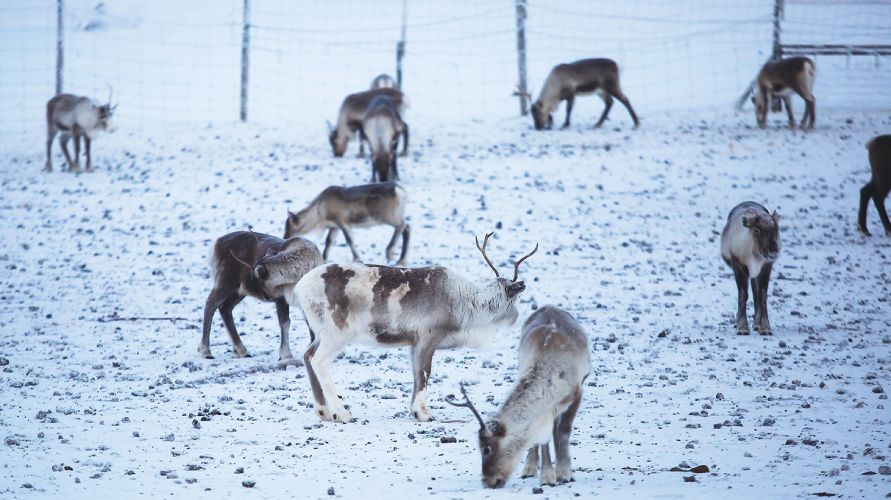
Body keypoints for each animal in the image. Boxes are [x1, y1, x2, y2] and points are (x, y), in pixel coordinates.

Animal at [202, 230, 324, 364]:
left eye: (256, 279)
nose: (244, 285)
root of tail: (217, 242)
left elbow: (310, 323)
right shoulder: (281, 298)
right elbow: (285, 323)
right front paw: (286, 355)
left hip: (237, 293)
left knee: (225, 308)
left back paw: (241, 350)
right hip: (225, 283)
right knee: (210, 304)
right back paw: (205, 351)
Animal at [450, 304, 588, 488]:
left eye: (487, 448)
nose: (487, 482)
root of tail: (549, 306)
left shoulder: (577, 391)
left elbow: (564, 430)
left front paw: (564, 473)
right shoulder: (546, 408)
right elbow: (542, 437)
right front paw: (546, 476)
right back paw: (529, 468)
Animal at [724, 201, 780, 334]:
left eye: (776, 229)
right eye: (756, 230)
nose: (772, 251)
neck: (754, 258)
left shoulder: (766, 267)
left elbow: (762, 295)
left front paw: (765, 327)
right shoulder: (738, 266)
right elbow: (743, 294)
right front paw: (742, 327)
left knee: (756, 292)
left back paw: (756, 323)